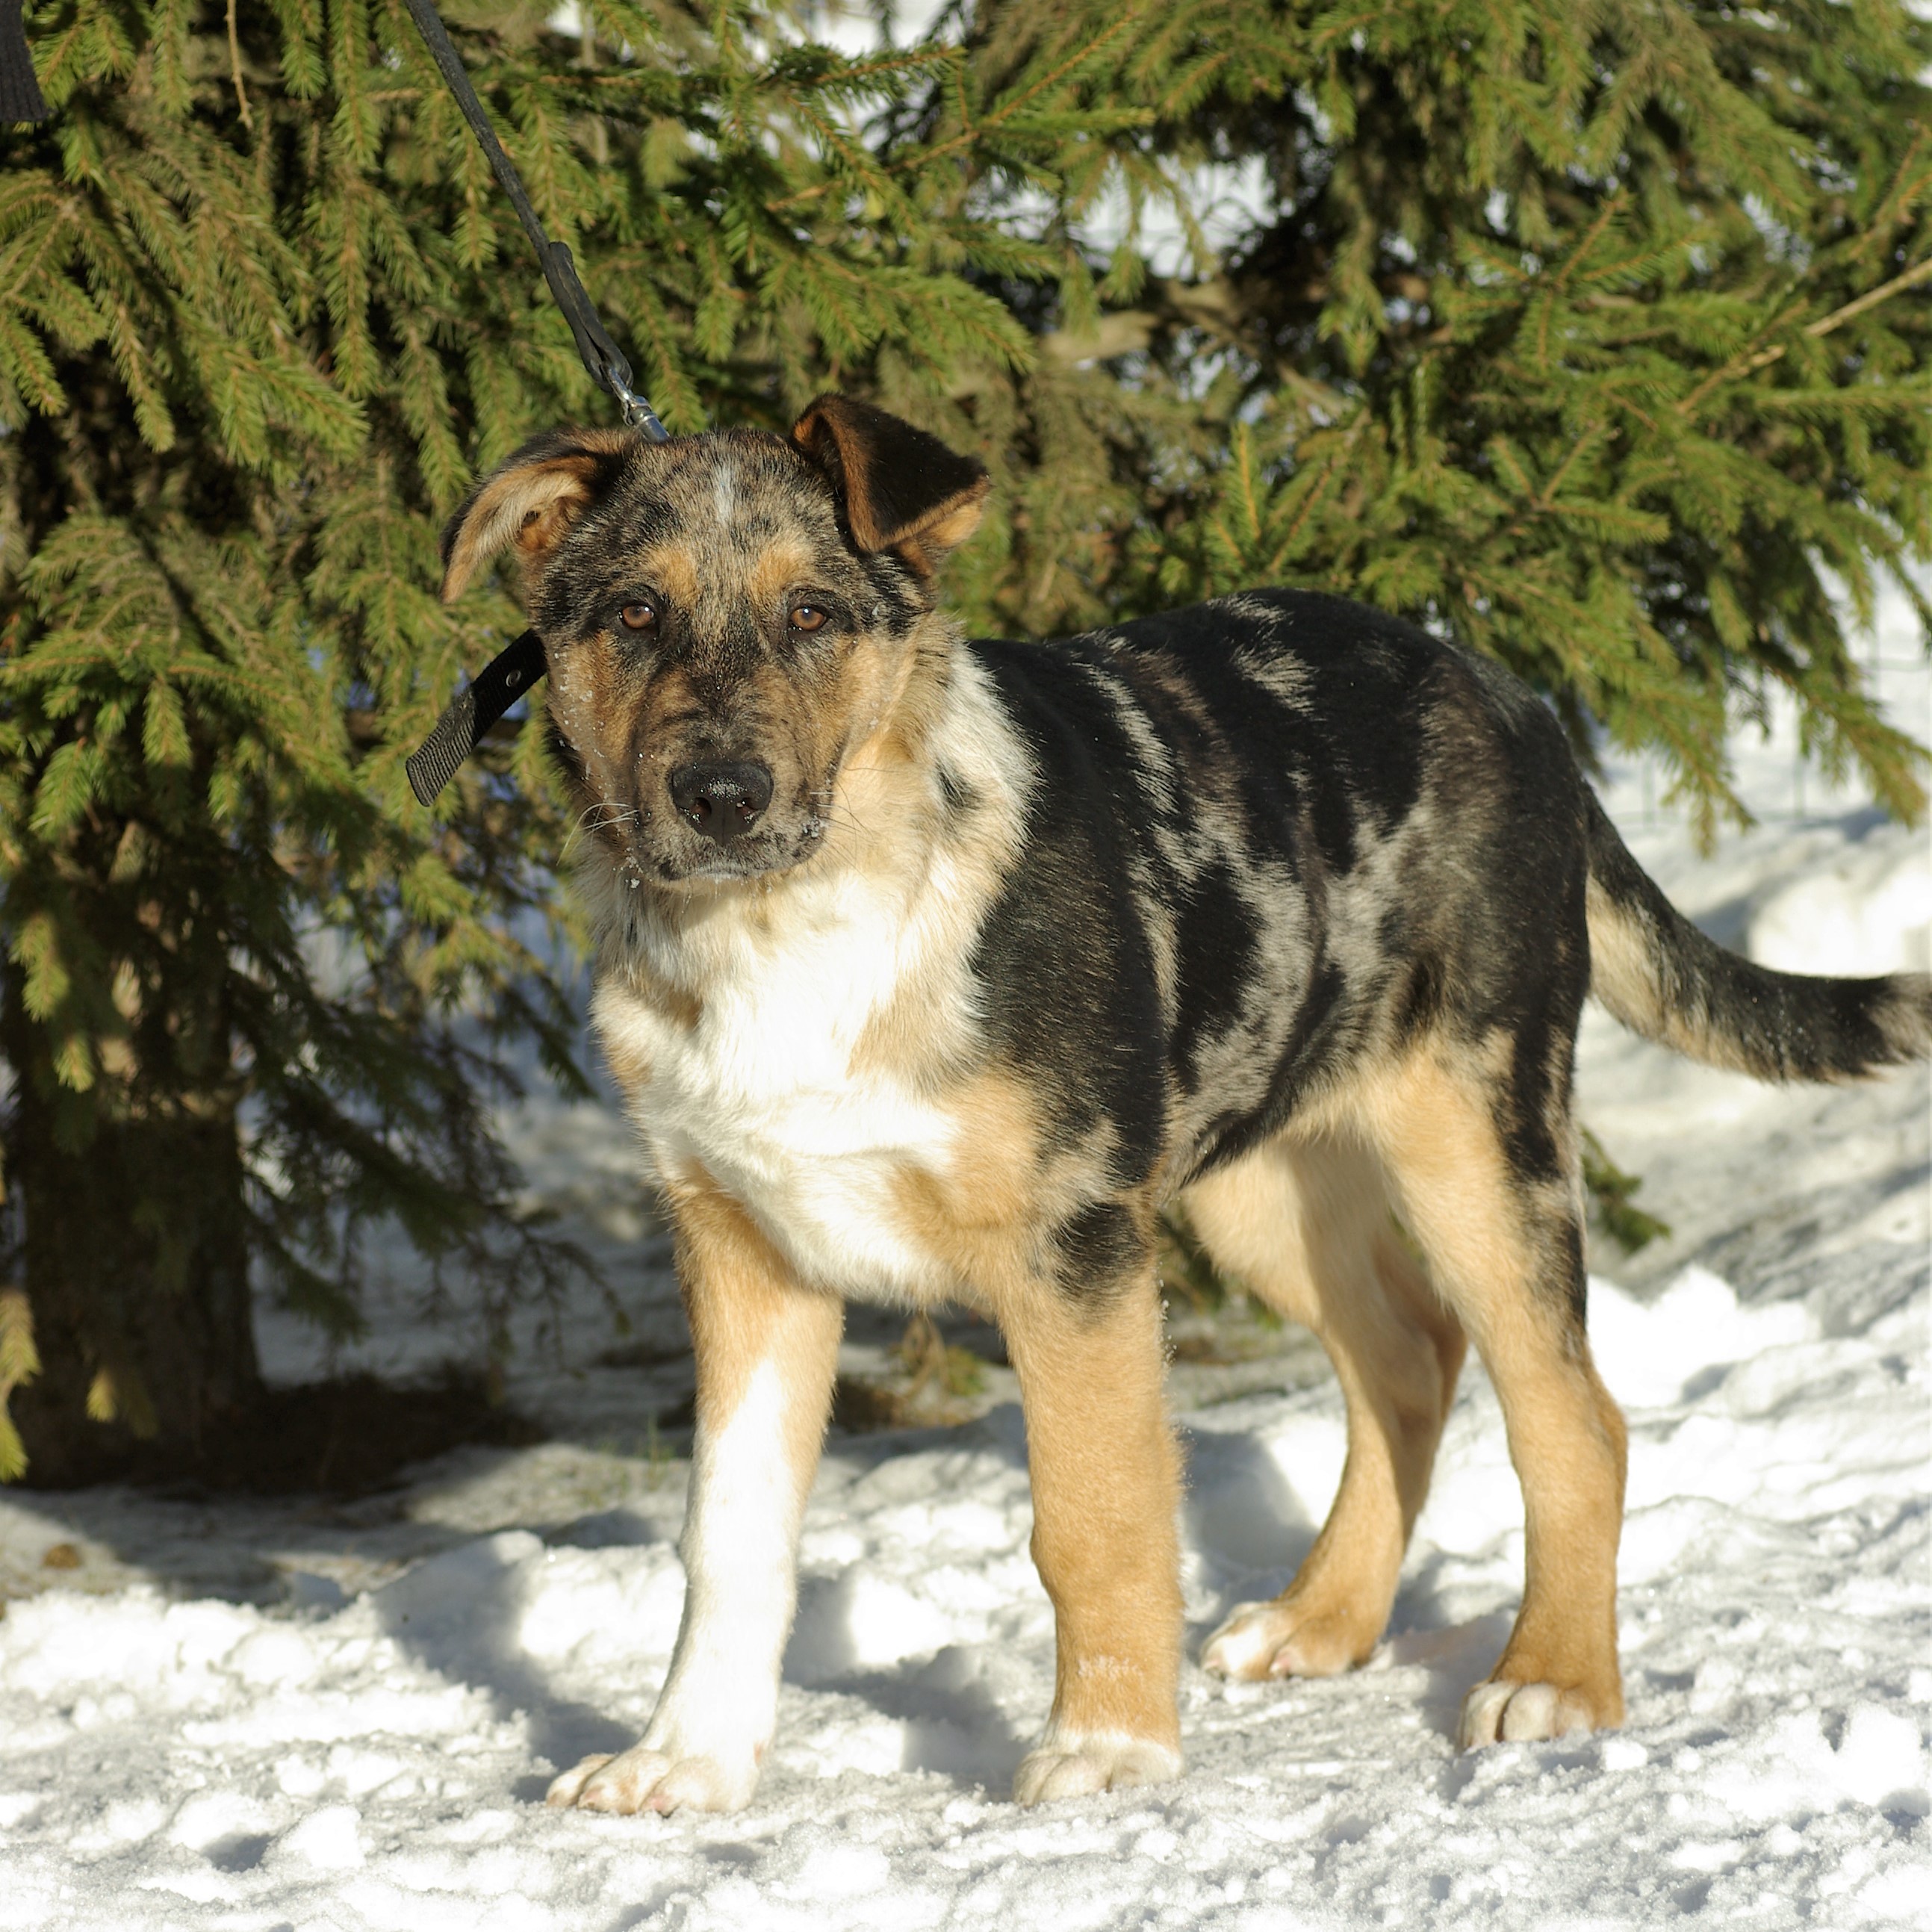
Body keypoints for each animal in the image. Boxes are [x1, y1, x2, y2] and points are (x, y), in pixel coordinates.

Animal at [436, 396, 1932, 1814]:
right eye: (632, 615)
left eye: (812, 613)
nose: (720, 797)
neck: (798, 924)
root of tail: (1515, 699)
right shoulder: (741, 1241)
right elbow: (729, 1532)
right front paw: (684, 1763)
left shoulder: (1076, 1240)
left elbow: (1091, 1510)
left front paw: (1106, 1751)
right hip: (1253, 1169)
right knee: (1407, 1356)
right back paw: (1323, 1620)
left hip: (1473, 1129)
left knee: (1572, 1415)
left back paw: (1554, 1679)